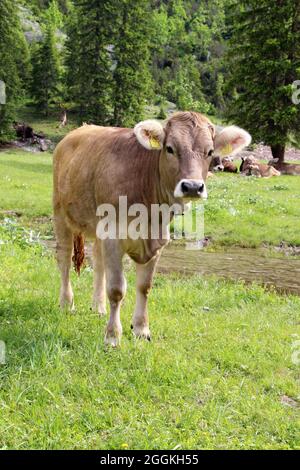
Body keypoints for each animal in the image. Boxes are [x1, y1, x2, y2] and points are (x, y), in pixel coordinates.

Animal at [53, 110, 251, 346]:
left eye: (210, 151)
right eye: (170, 148)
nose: (192, 186)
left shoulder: (156, 241)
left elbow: (144, 287)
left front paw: (141, 329)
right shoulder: (114, 236)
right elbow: (117, 289)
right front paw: (112, 336)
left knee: (99, 263)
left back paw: (98, 307)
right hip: (60, 214)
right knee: (64, 259)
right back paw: (67, 303)